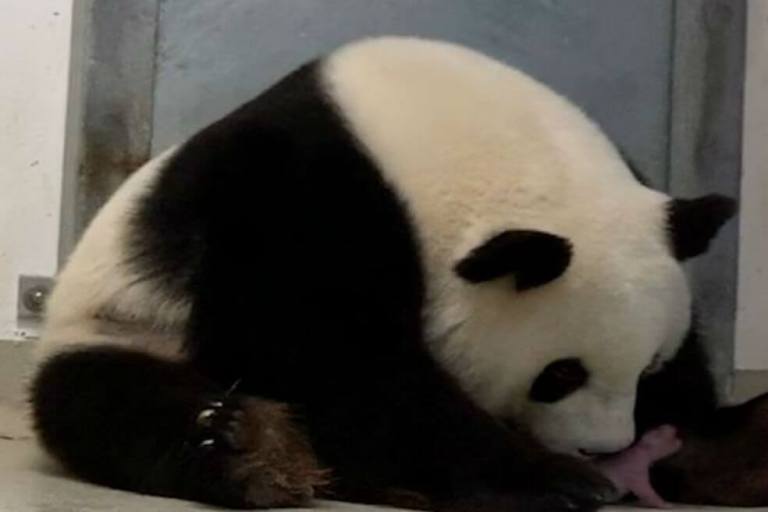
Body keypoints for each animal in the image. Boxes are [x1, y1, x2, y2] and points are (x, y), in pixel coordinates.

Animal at [30, 36, 756, 511]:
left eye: (649, 367)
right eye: (559, 375)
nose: (604, 450)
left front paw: (713, 444)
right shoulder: (297, 195)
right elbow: (322, 351)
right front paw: (551, 479)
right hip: (119, 320)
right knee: (110, 400)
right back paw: (253, 449)